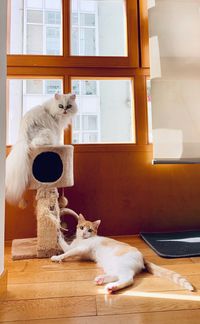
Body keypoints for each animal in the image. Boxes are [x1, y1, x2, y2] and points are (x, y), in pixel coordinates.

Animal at [50, 215, 195, 294]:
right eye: (81, 228)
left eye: (90, 230)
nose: (85, 233)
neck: (81, 240)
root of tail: (142, 255)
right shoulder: (74, 247)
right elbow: (65, 247)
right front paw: (58, 235)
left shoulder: (81, 249)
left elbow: (68, 252)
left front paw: (57, 255)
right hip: (111, 265)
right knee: (116, 275)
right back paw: (103, 280)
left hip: (121, 263)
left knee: (128, 278)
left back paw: (112, 287)